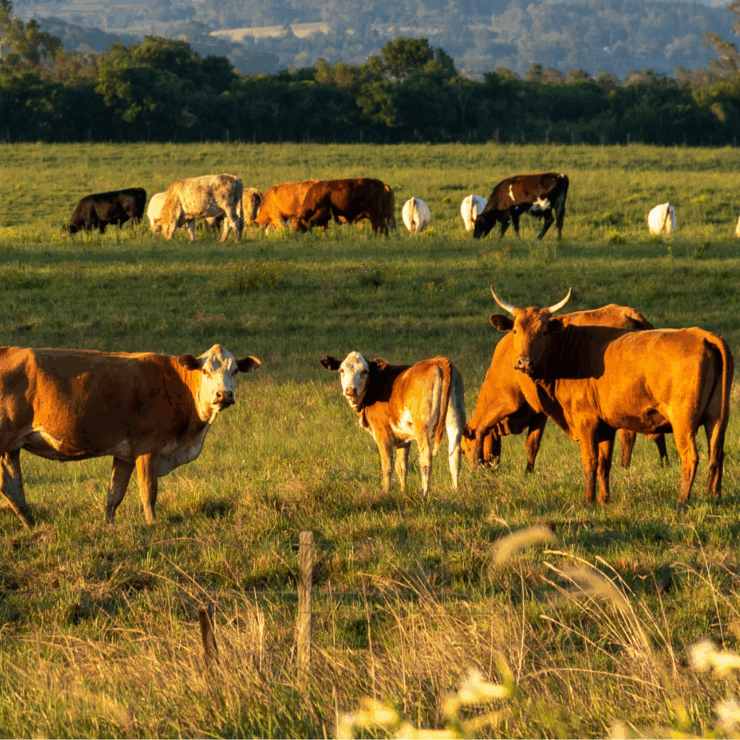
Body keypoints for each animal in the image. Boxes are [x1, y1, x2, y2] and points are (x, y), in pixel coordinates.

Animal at [0, 344, 260, 529]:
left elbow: (115, 493)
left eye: (235, 371)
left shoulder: (124, 454)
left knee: (12, 486)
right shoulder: (148, 447)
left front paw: (109, 526)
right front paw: (152, 523)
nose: (223, 395)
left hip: (11, 448)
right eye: (205, 371)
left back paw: (32, 525)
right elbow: (148, 490)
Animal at [320, 352, 466, 496]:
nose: (350, 390)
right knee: (455, 454)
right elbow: (401, 466)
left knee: (426, 457)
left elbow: (387, 465)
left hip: (422, 426)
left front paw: (385, 492)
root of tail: (438, 360)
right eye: (342, 370)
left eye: (364, 371)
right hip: (455, 419)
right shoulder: (404, 437)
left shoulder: (382, 433)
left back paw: (424, 493)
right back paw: (455, 490)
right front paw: (403, 491)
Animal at [463, 303, 669, 472]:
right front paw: (528, 472)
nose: (473, 471)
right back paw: (664, 464)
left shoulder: (509, 400)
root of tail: (630, 314)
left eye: (464, 449)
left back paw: (623, 467)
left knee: (628, 435)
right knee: (657, 432)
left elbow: (482, 428)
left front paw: (479, 462)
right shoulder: (540, 409)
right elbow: (532, 444)